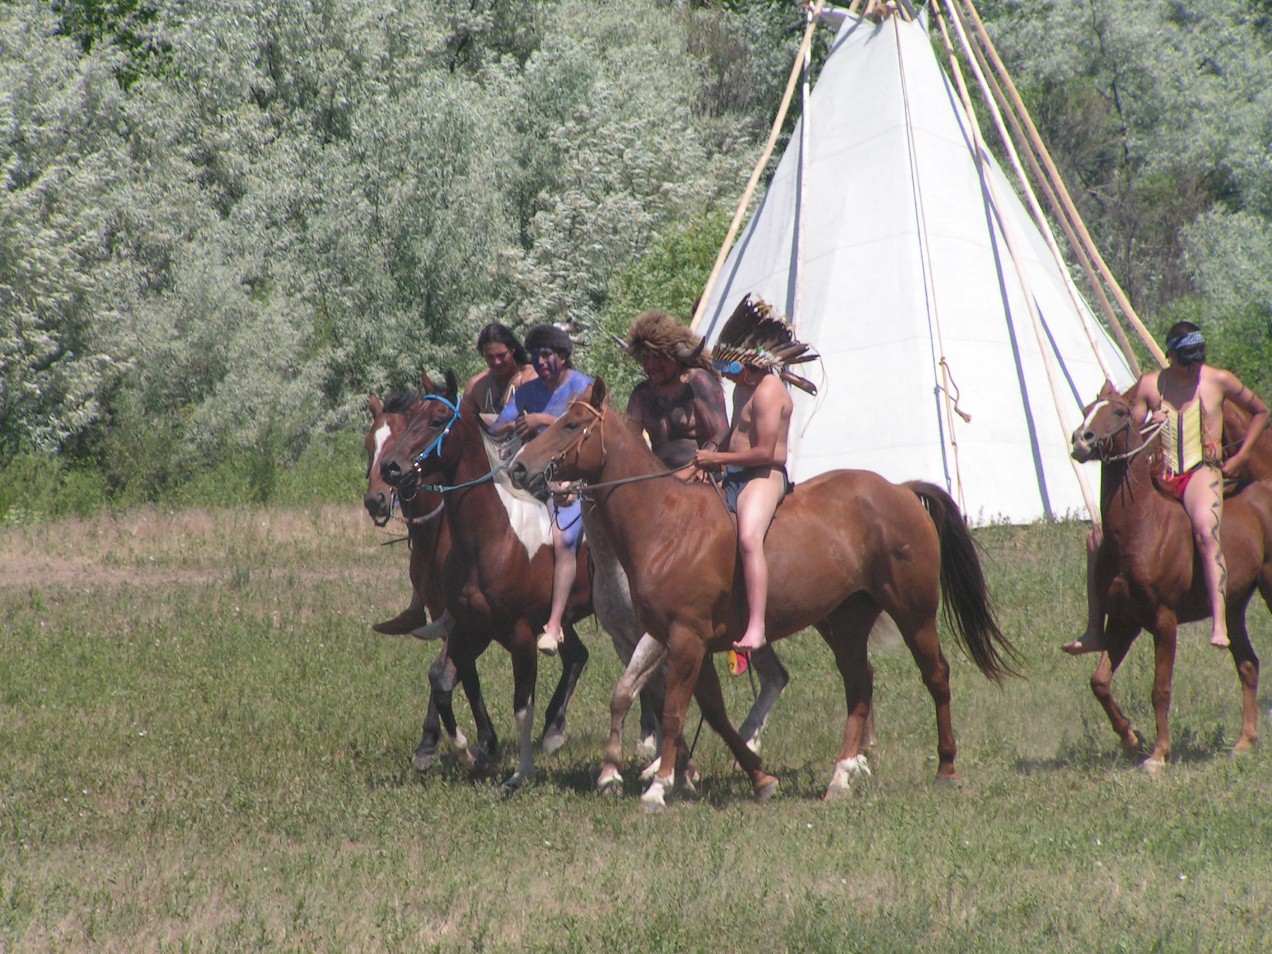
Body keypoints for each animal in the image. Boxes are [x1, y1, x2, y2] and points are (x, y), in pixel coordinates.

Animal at [501, 376, 1017, 808]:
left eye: (571, 424)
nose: (518, 468)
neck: (665, 525)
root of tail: (900, 490)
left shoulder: (684, 638)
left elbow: (673, 712)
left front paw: (658, 786)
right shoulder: (686, 642)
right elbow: (710, 712)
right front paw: (757, 778)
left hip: (914, 612)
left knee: (936, 675)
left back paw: (945, 768)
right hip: (845, 622)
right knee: (859, 687)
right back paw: (840, 776)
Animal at [1068, 384, 1266, 768]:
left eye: (1119, 412)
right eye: (1086, 410)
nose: (1081, 440)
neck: (1141, 528)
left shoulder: (1163, 622)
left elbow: (1160, 690)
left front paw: (1159, 754)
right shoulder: (1123, 623)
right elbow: (1099, 682)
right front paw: (1131, 739)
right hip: (1233, 608)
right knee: (1248, 664)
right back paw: (1245, 742)